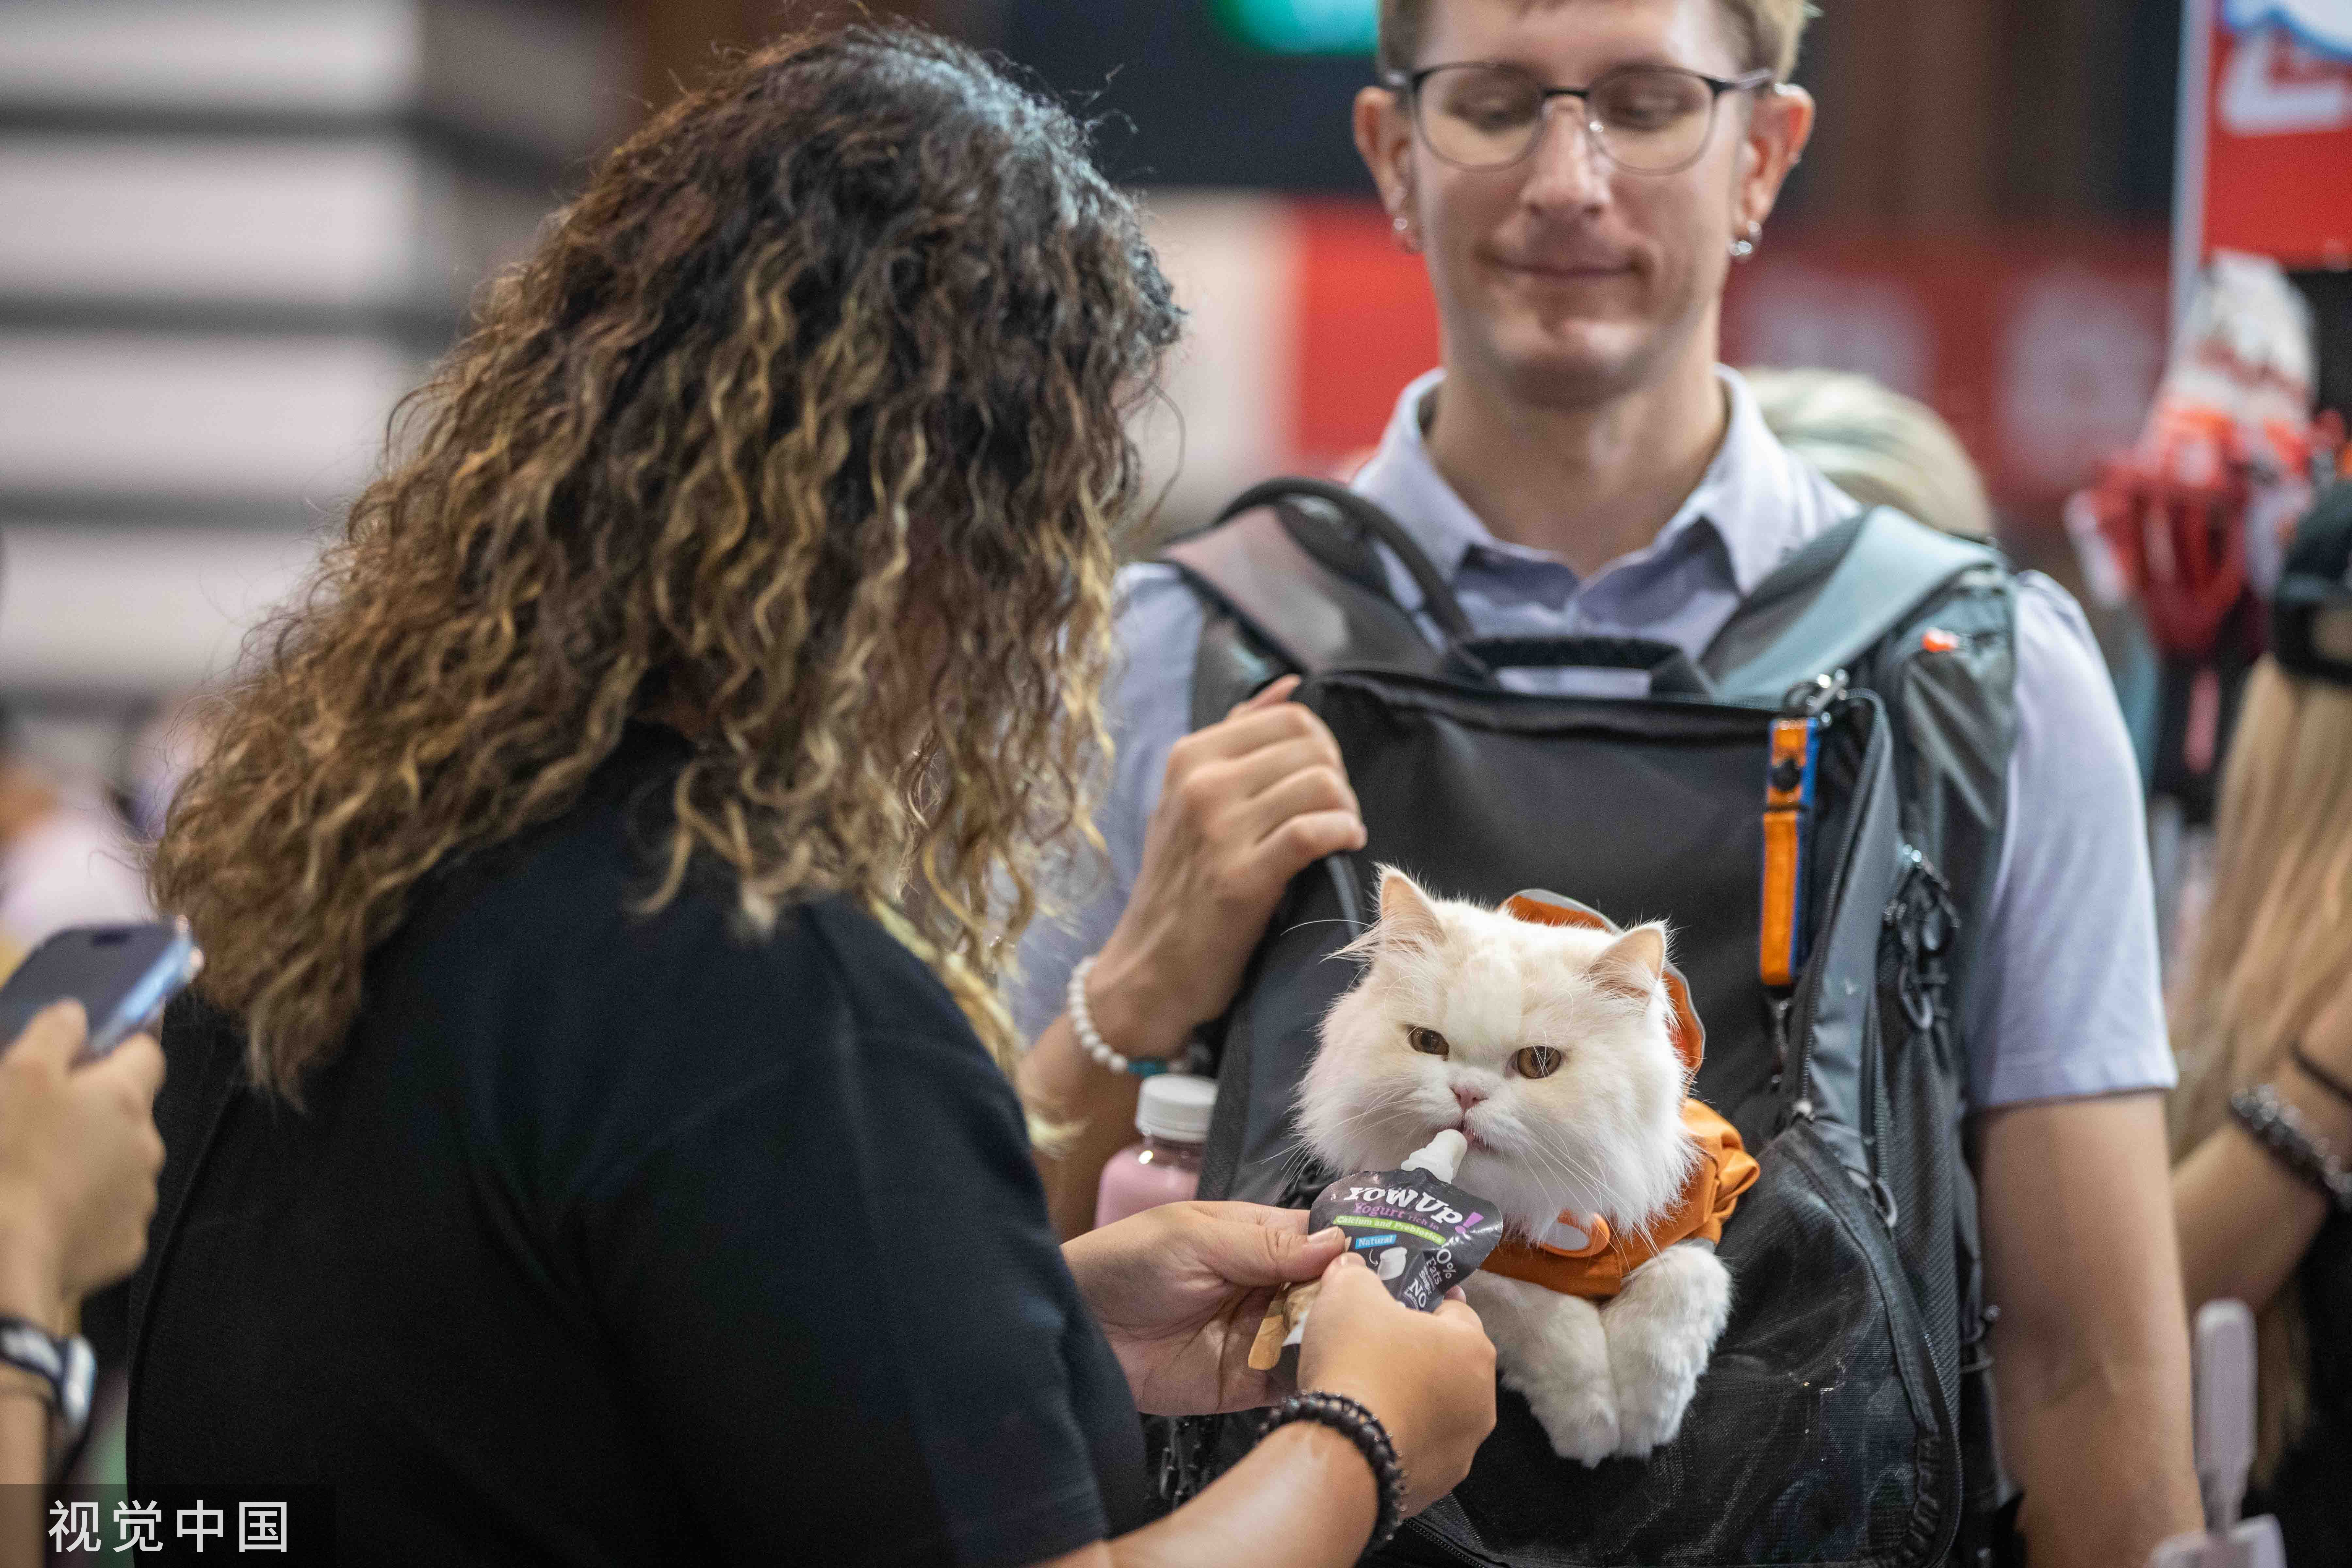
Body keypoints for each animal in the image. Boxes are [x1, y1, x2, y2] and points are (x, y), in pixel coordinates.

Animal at [1298, 865, 1740, 1467]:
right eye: (1428, 1043)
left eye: (1539, 1063)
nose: (1466, 1093)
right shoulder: (1485, 1269)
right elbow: (1547, 1322)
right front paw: (1592, 1424)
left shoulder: (1705, 1206)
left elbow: (1681, 1293)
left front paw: (1648, 1418)